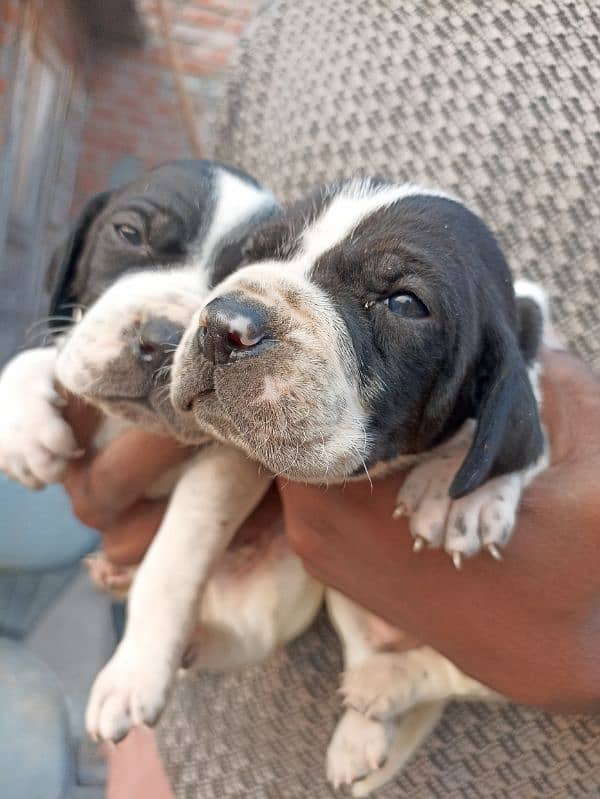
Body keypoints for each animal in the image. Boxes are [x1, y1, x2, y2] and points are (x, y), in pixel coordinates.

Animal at [170, 178, 552, 796]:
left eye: (404, 303)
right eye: (257, 251)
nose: (225, 324)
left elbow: (524, 411)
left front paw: (463, 490)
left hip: (512, 658)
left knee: (441, 674)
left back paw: (383, 686)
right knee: (361, 652)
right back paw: (357, 723)